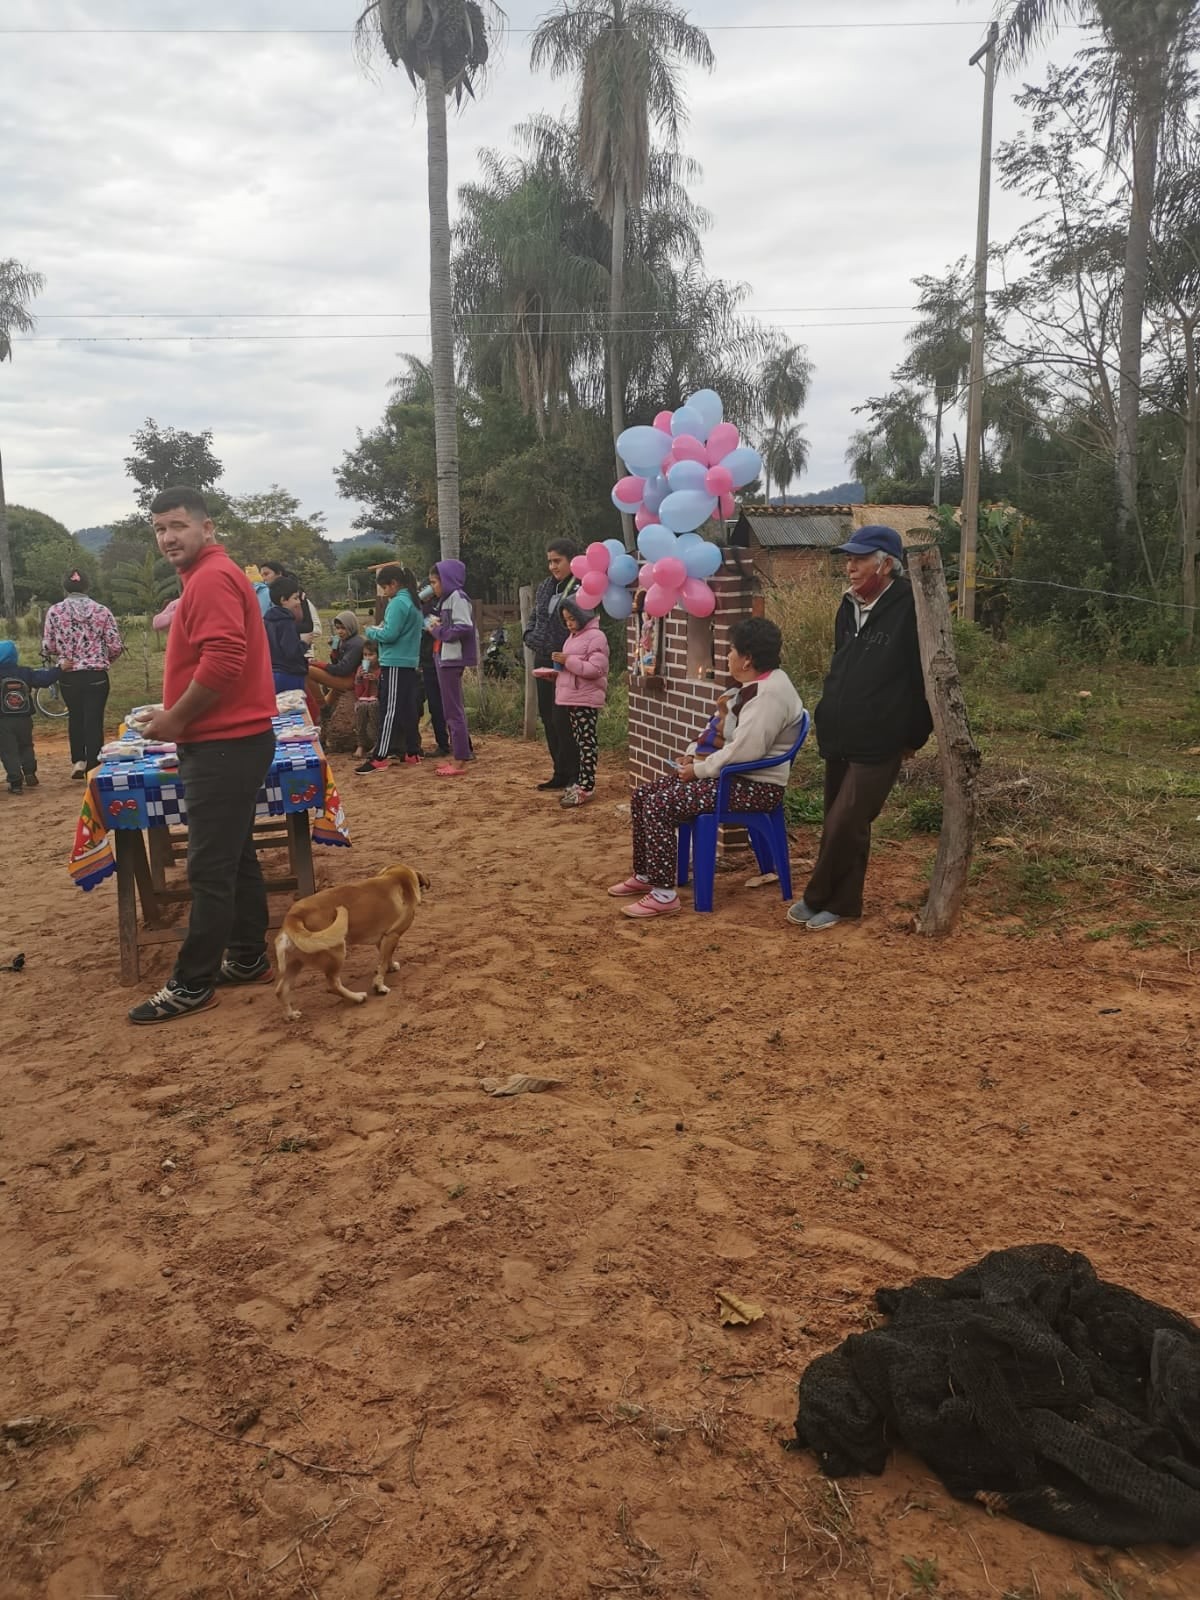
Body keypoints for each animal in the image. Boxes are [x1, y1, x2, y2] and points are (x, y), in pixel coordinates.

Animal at [275, 863, 428, 1021]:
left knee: (280, 990)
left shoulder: (384, 939)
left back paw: (291, 1014)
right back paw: (357, 997)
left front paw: (390, 967)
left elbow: (385, 959)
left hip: (295, 963)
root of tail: (293, 916)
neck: (397, 879)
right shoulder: (392, 935)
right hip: (336, 952)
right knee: (333, 985)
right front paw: (380, 986)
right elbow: (383, 964)